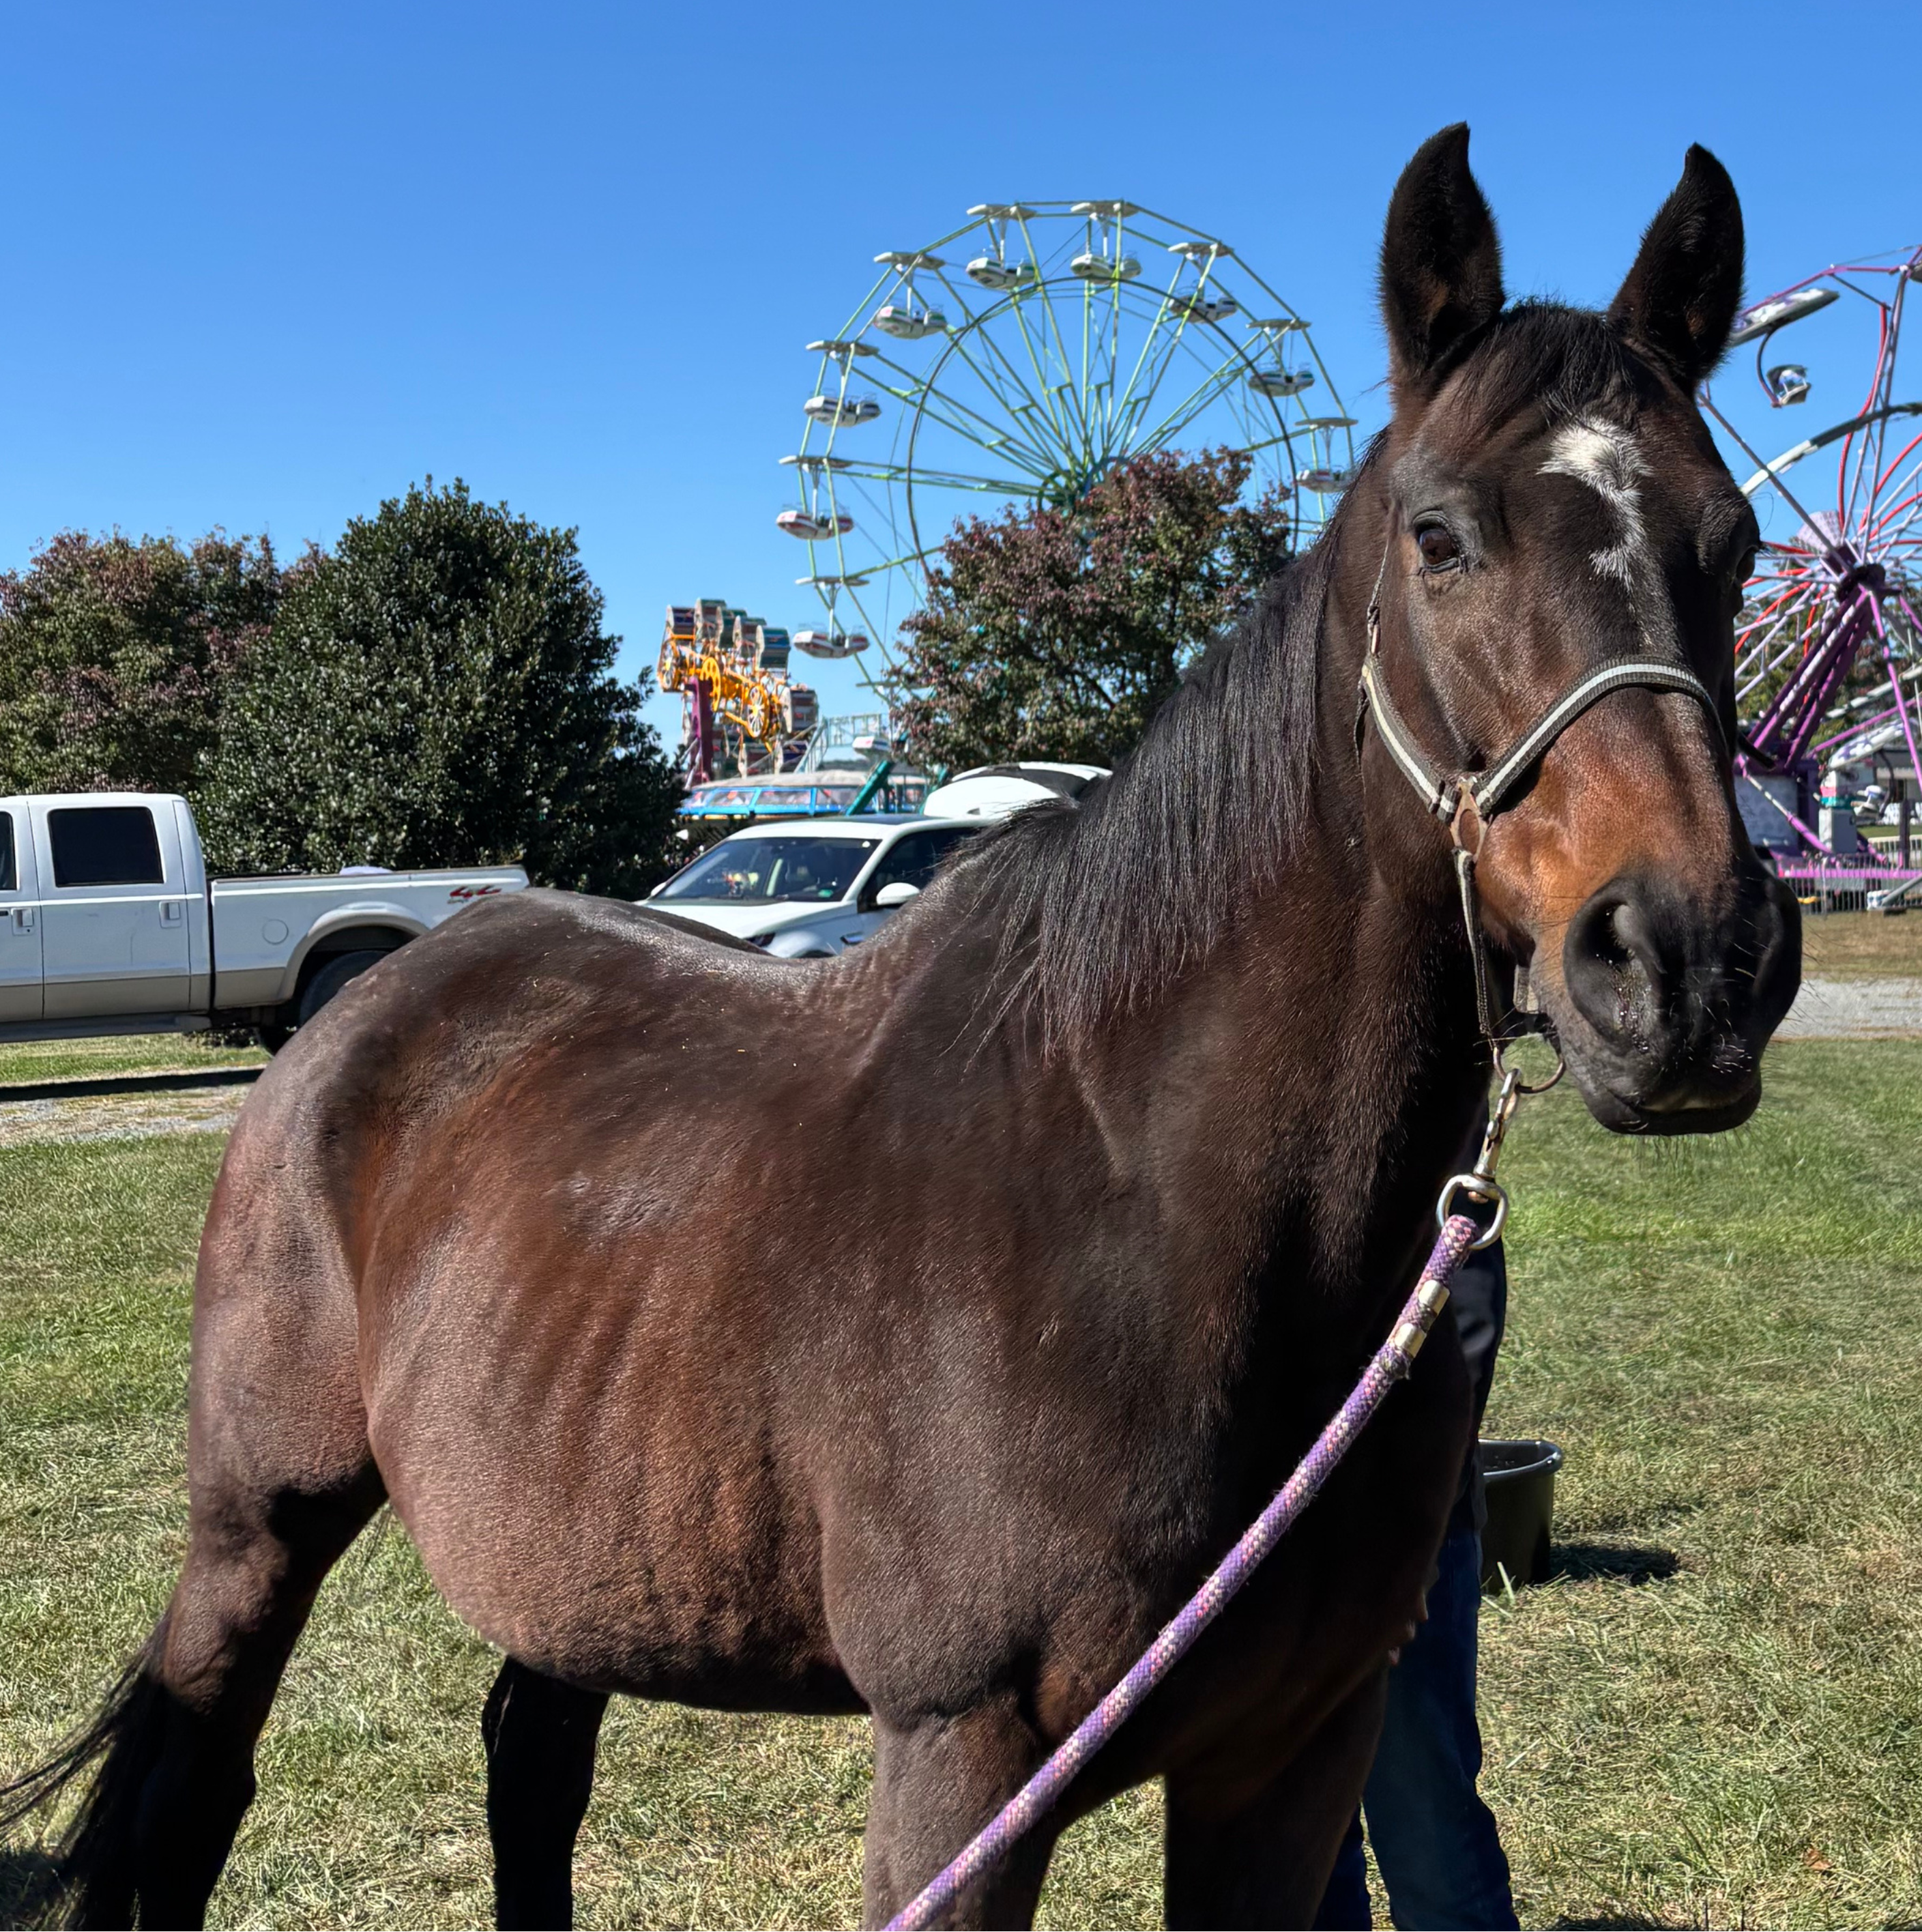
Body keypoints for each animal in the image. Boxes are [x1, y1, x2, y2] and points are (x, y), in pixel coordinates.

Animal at [4, 125, 1799, 1929]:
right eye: (1439, 536)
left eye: (1734, 543)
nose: (1689, 963)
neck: (1155, 1201)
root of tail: (368, 1008)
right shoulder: (963, 1757)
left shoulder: (1289, 1759)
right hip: (259, 1527)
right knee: (196, 1790)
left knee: (530, 1757)